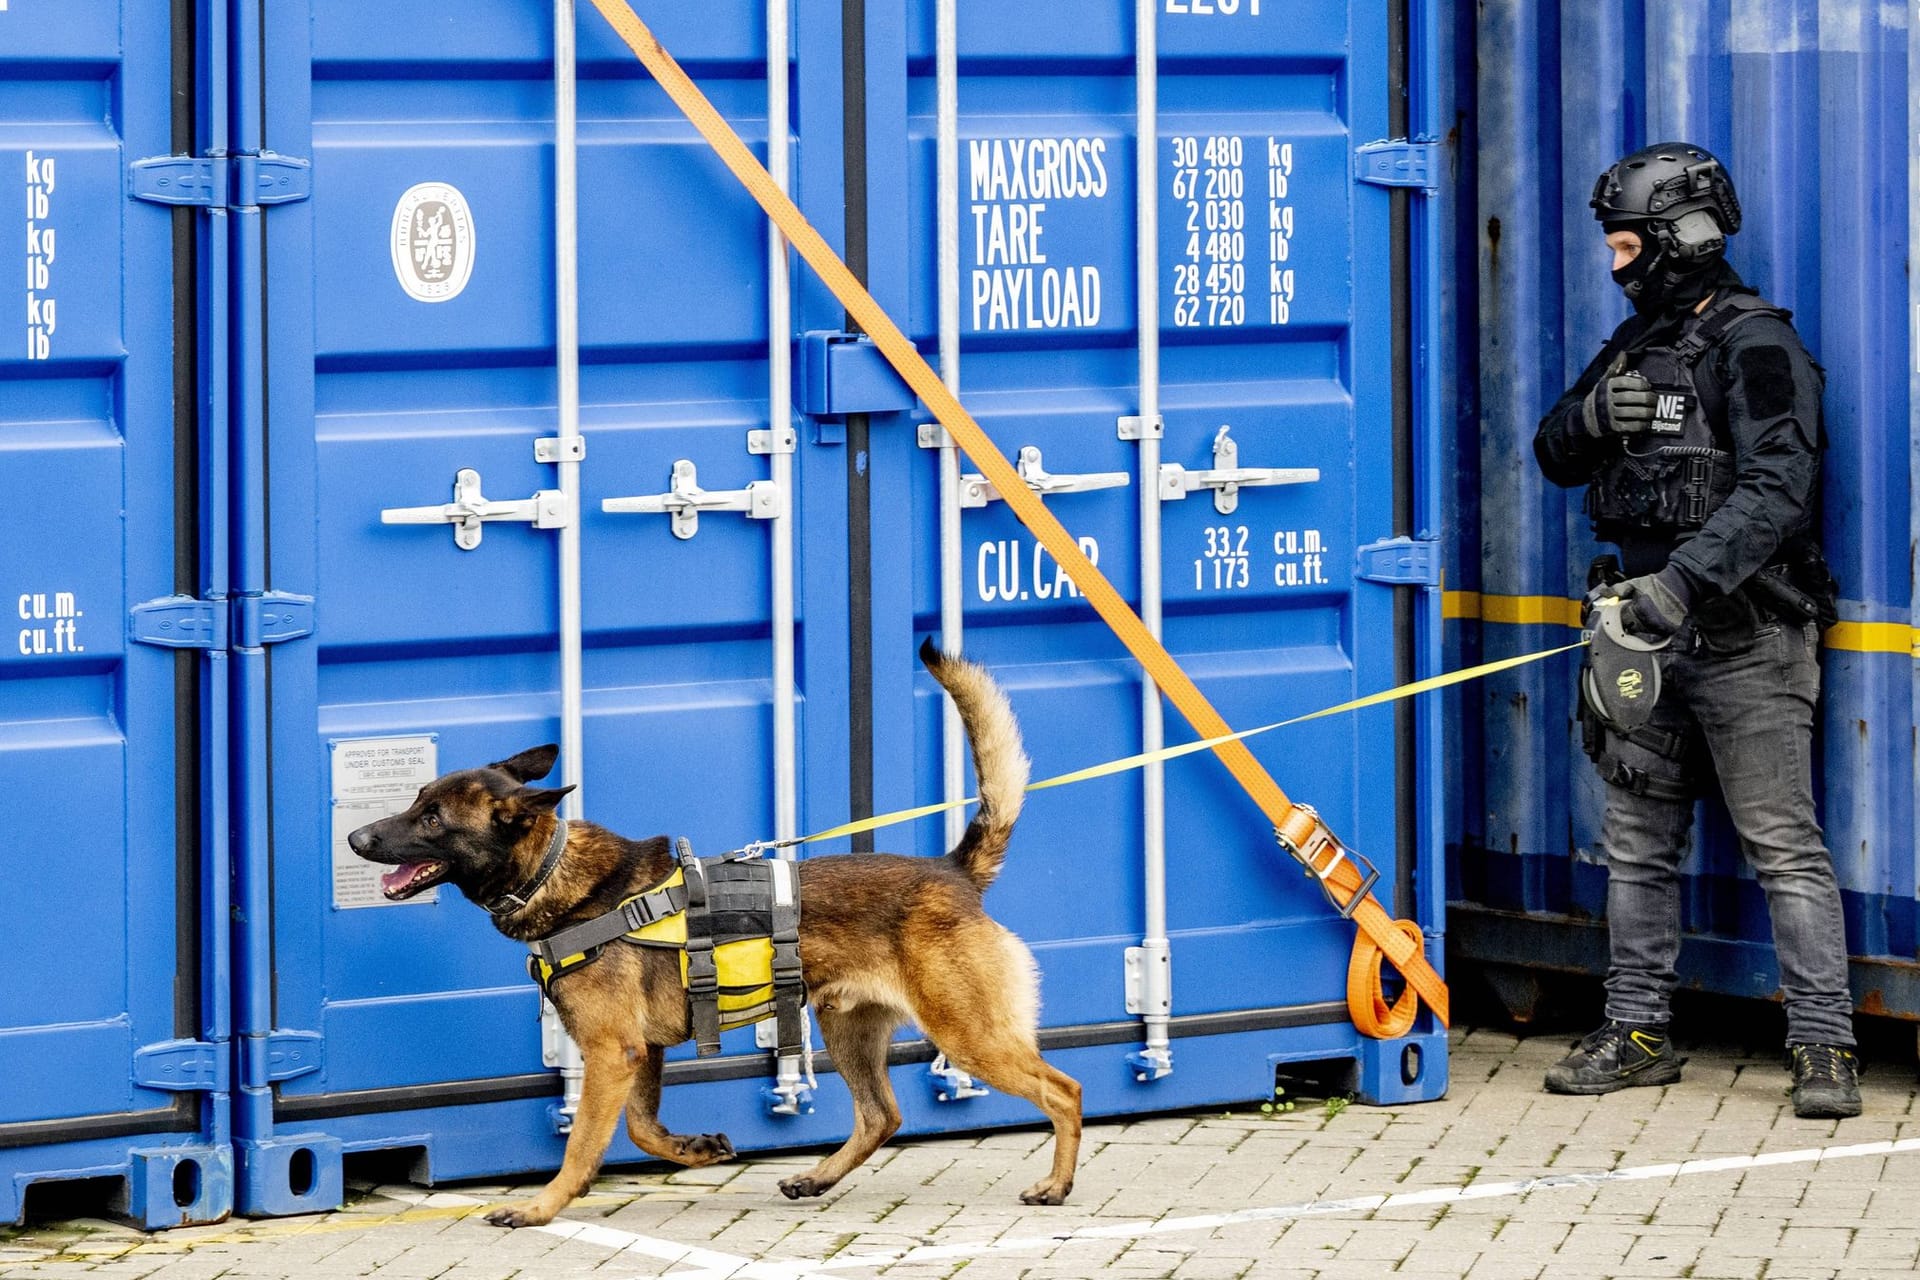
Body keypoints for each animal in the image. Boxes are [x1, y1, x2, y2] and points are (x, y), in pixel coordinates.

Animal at [341, 644, 1067, 1228]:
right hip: (848, 1029)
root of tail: (952, 869)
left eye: (433, 819)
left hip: (967, 1036)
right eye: (416, 800)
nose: (355, 837)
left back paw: (1056, 1185)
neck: (554, 873)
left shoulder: (612, 1052)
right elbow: (639, 1127)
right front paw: (693, 1150)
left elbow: (582, 1144)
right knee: (881, 1114)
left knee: (1063, 1091)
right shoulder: (642, 1052)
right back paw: (816, 1177)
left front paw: (541, 1207)